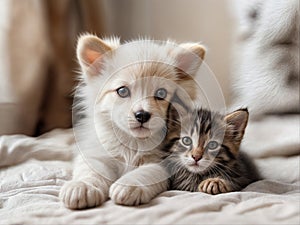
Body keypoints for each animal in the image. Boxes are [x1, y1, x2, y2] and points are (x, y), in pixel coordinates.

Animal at [59, 34, 206, 208]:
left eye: (161, 93)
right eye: (122, 91)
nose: (142, 115)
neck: (132, 143)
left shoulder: (164, 164)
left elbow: (145, 172)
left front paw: (127, 185)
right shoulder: (95, 154)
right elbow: (91, 171)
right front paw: (82, 186)